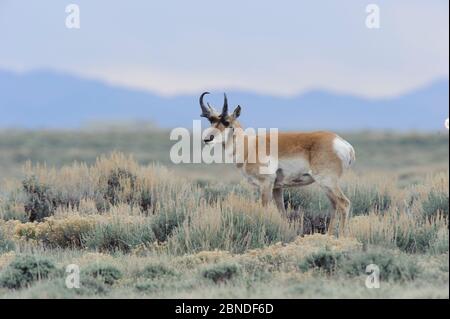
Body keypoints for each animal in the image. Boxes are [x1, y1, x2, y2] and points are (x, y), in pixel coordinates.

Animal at [200, 91, 356, 236]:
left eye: (227, 122)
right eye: (211, 121)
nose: (207, 139)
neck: (250, 145)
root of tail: (342, 143)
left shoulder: (266, 184)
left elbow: (264, 209)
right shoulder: (277, 188)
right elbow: (282, 213)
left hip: (327, 182)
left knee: (344, 203)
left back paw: (342, 236)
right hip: (326, 186)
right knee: (335, 205)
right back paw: (329, 235)